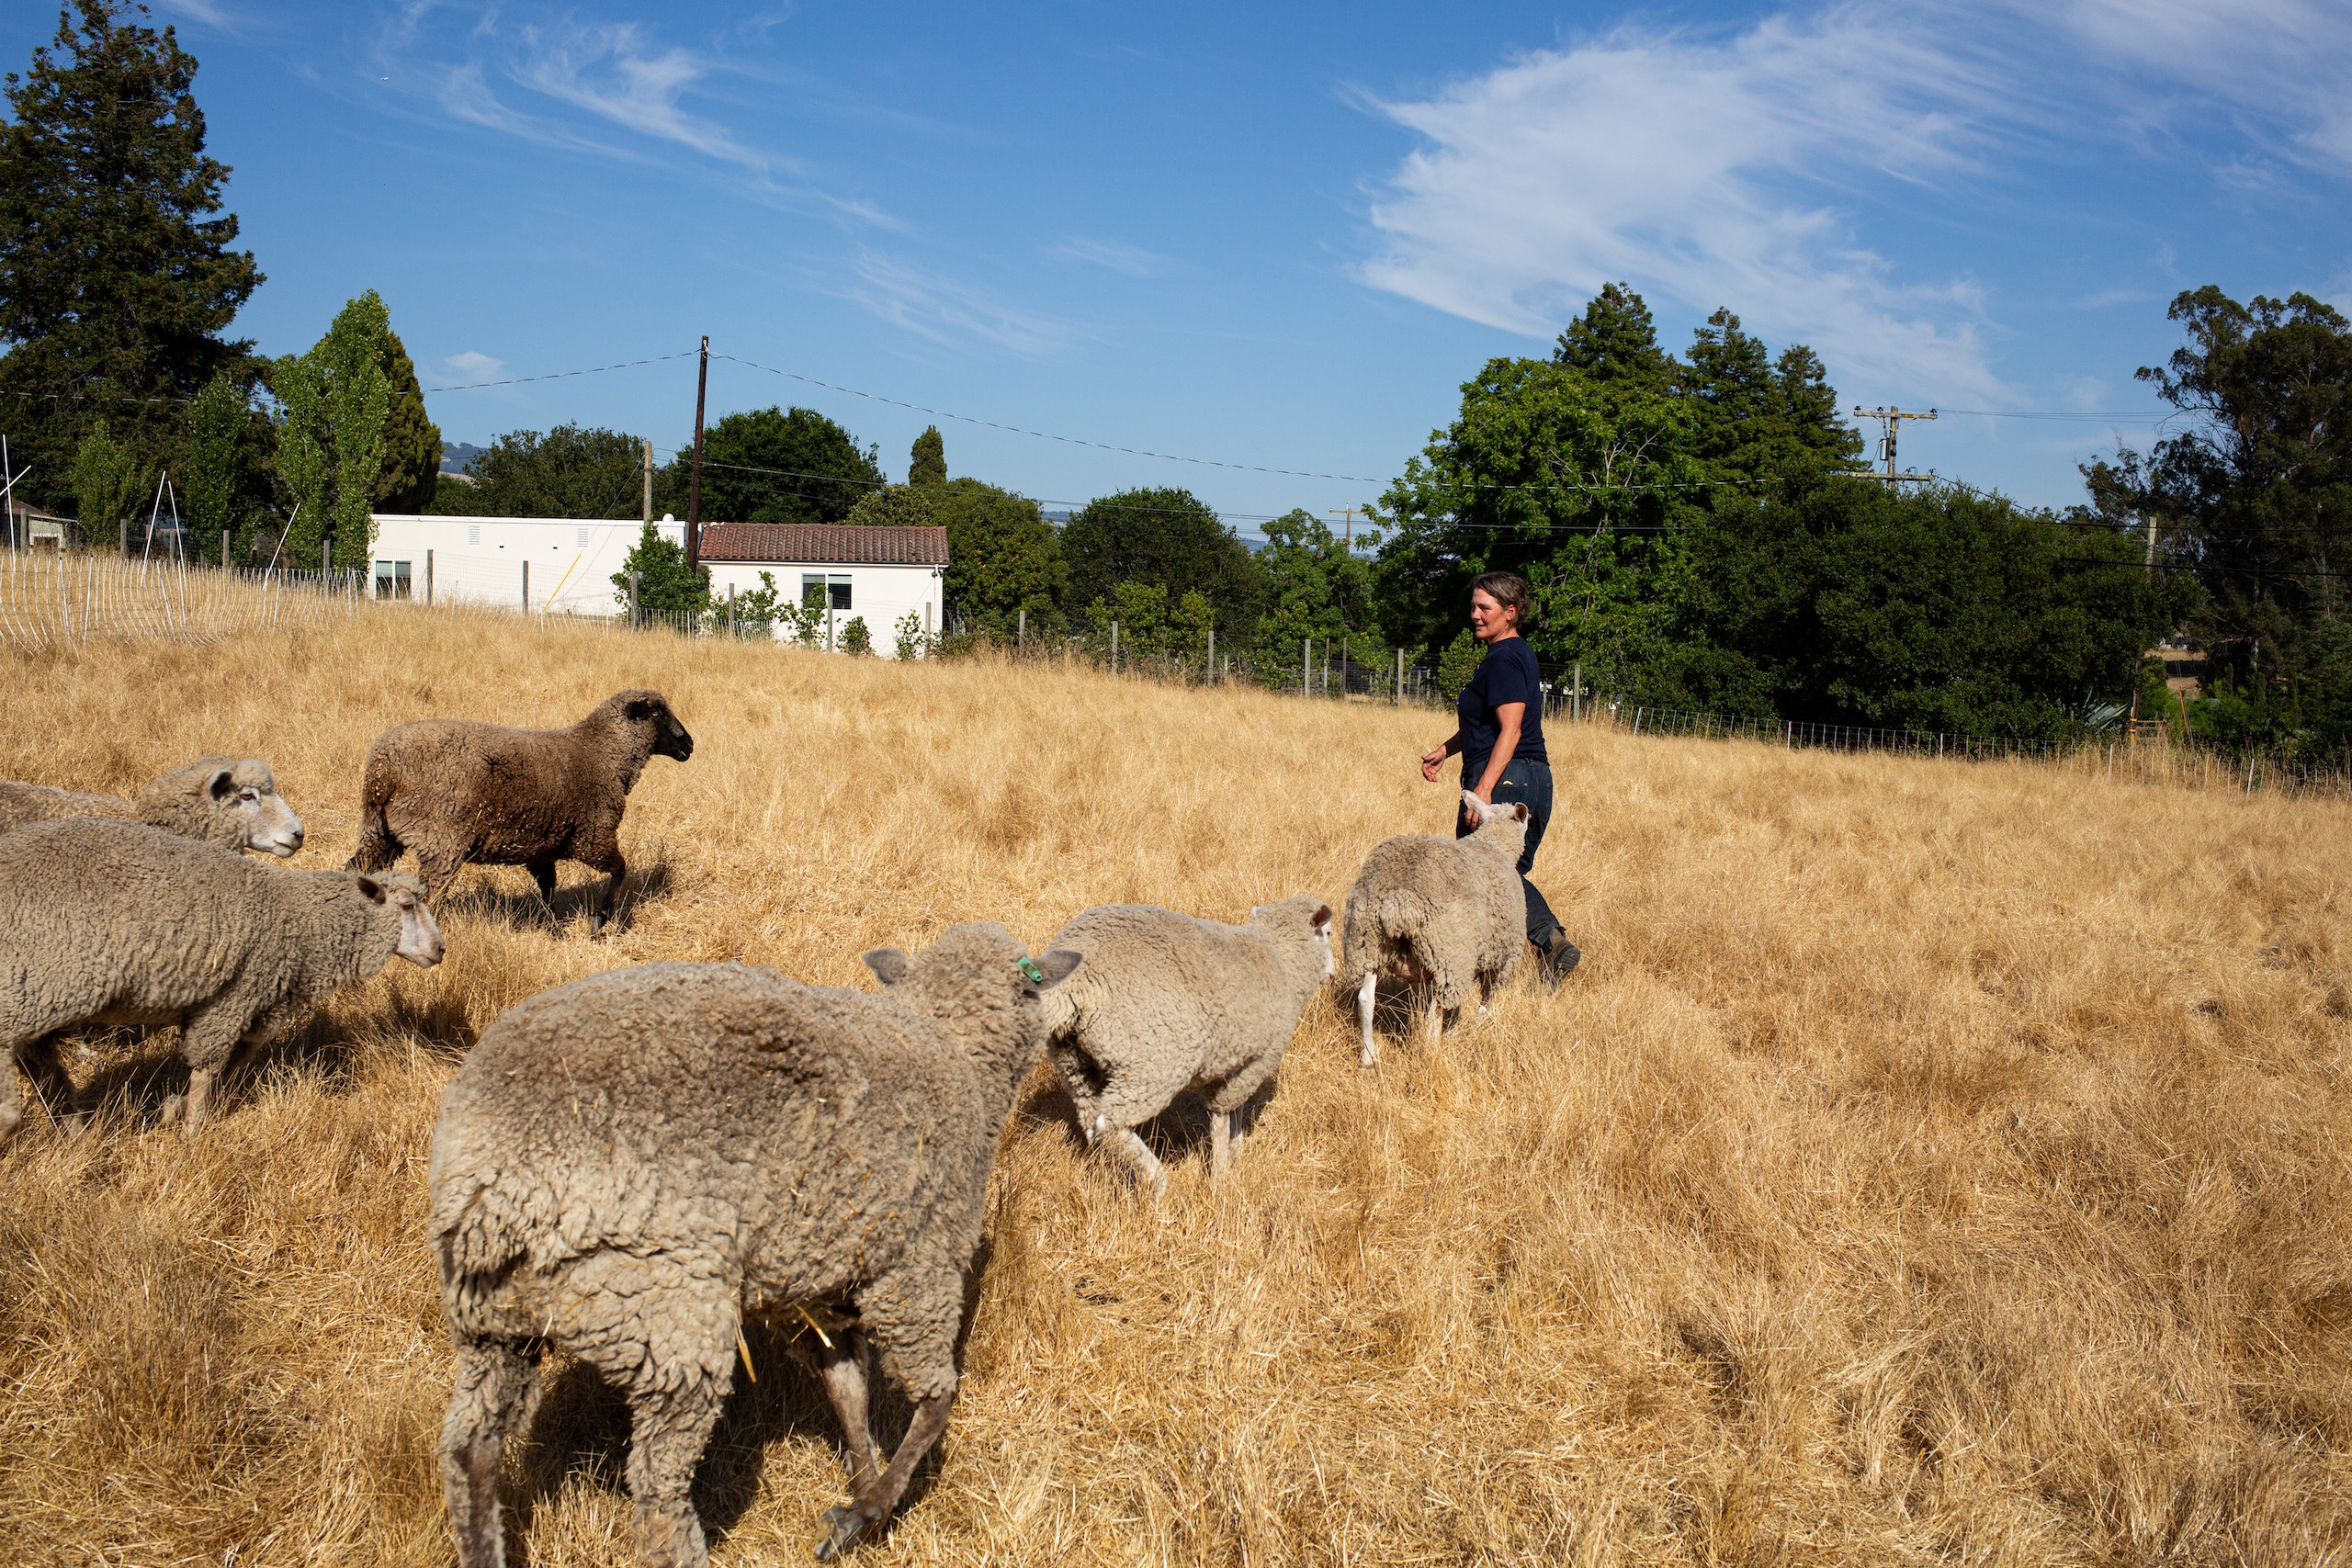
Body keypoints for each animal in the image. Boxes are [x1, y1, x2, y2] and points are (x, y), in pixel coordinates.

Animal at [0, 817, 443, 1143]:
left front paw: (175, 1110)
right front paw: (191, 1133)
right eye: (407, 905)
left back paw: (76, 1137)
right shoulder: (232, 997)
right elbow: (207, 1070)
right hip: (29, 991)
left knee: (45, 1073)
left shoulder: (259, 1003)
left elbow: (238, 1062)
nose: (440, 949)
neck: (299, 921)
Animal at [347, 688, 692, 930]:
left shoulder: (543, 848)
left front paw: (553, 928)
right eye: (657, 712)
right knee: (429, 894)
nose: (689, 745)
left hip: (378, 831)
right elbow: (620, 870)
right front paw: (600, 922)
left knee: (357, 869)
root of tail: (382, 769)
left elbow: (549, 889)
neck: (604, 753)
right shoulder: (593, 837)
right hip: (440, 840)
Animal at [428, 924, 1081, 1567]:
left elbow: (846, 1388)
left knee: (468, 1449)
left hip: (495, 1319)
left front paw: (859, 1492)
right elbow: (935, 1401)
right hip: (666, 1312)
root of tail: (494, 1183)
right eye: (1034, 979)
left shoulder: (823, 1282)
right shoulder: (917, 1267)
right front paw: (871, 1510)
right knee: (658, 1494)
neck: (951, 1047)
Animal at [1040, 896, 1333, 1197]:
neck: (1280, 958)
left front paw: (1233, 1154)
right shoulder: (1254, 1062)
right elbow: (1223, 1118)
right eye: (1328, 933)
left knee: (1092, 1124)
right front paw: (1221, 1174)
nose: (1331, 975)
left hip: (1075, 1065)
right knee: (1109, 1123)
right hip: (1151, 1064)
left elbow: (1232, 1112)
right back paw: (1157, 1181)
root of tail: (1075, 983)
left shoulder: (1231, 1062)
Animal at [1341, 791, 1530, 1067]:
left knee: (1366, 1000)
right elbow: (1488, 1000)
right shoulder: (1504, 958)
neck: (1494, 847)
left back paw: (1368, 1059)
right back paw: (1433, 1051)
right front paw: (1482, 1025)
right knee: (1436, 1010)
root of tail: (1401, 896)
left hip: (1367, 944)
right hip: (1449, 955)